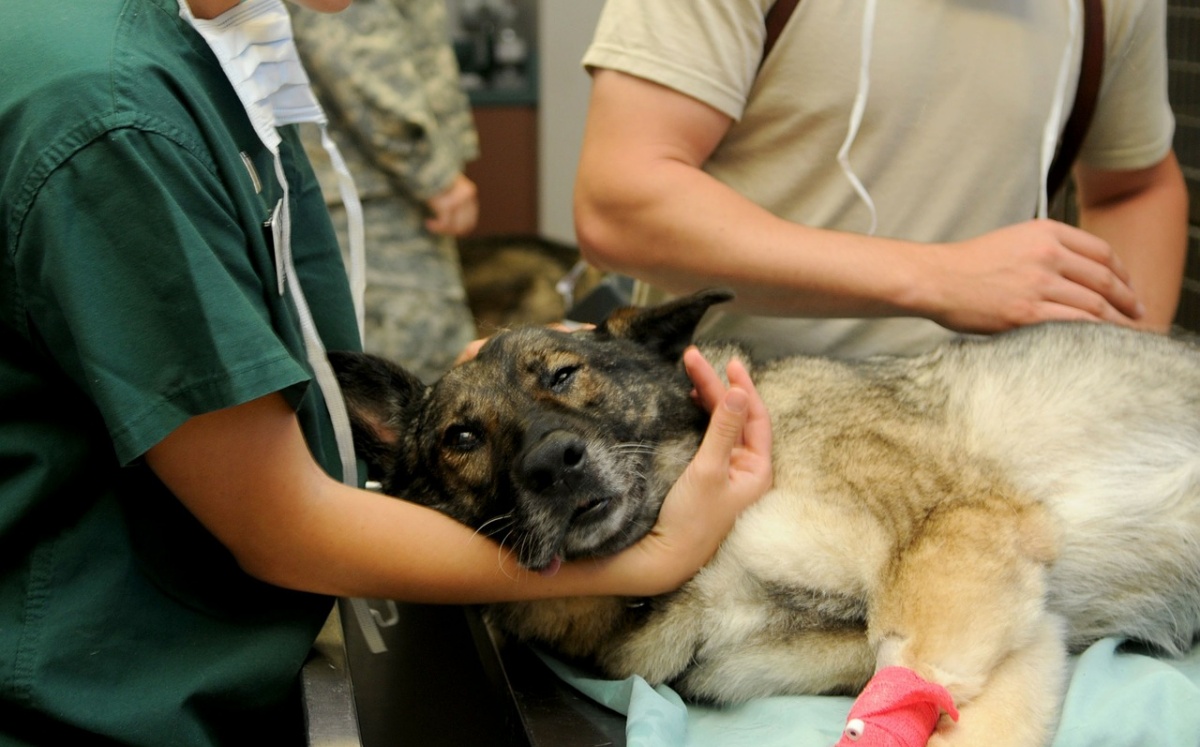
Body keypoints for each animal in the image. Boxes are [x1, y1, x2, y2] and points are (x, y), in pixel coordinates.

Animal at [328, 291, 1200, 747]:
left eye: (565, 374)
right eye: (462, 438)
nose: (553, 463)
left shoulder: (957, 539)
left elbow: (913, 675)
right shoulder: (1018, 627)